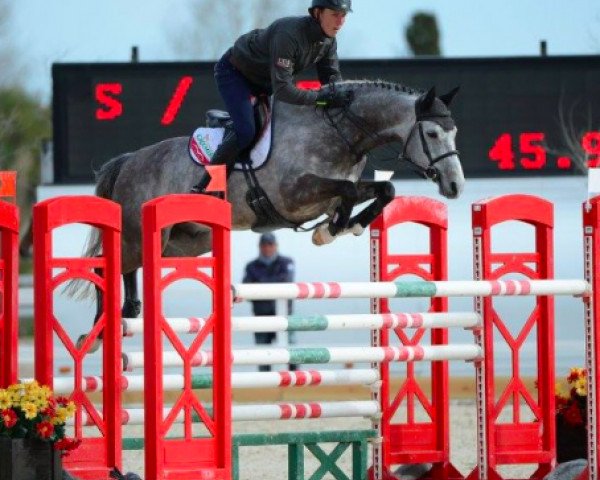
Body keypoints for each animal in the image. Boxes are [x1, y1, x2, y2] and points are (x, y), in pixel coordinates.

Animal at [74, 79, 464, 348]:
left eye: (454, 131)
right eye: (432, 133)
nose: (455, 185)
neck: (338, 133)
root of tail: (128, 161)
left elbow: (384, 190)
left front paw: (346, 225)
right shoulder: (295, 194)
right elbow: (349, 192)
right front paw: (331, 228)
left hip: (185, 243)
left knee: (128, 268)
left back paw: (129, 311)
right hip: (138, 234)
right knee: (105, 267)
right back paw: (98, 331)